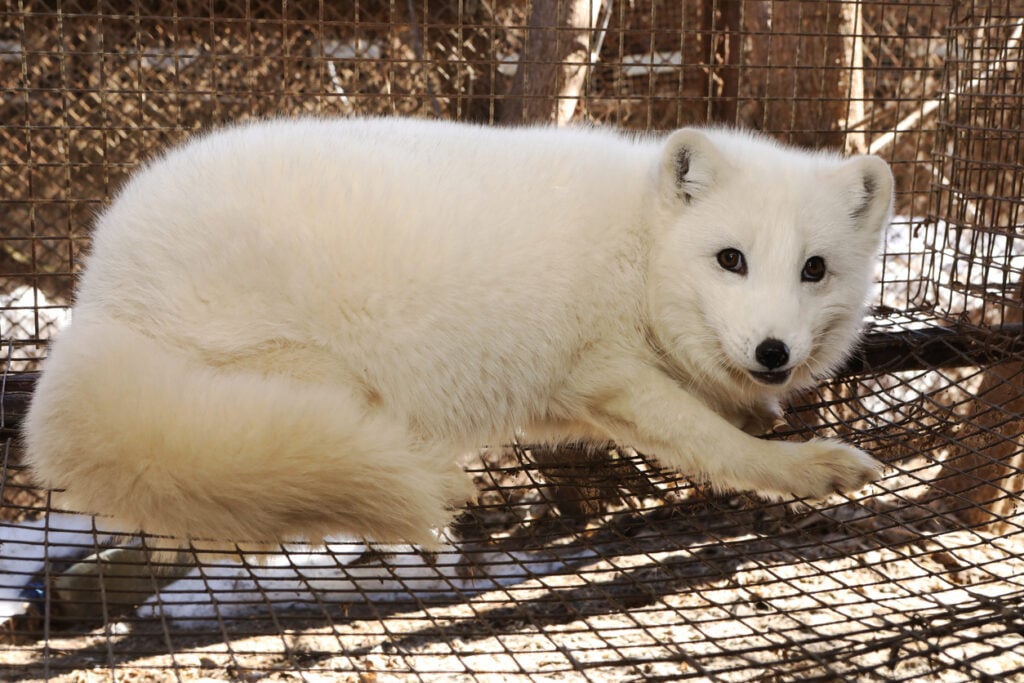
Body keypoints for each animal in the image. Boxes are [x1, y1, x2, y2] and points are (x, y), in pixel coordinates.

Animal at [23, 118, 894, 549]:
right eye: (730, 259)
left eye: (814, 269)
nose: (775, 353)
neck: (639, 245)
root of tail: (95, 297)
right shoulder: (604, 371)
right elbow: (711, 443)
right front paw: (799, 465)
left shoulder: (568, 393)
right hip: (309, 372)